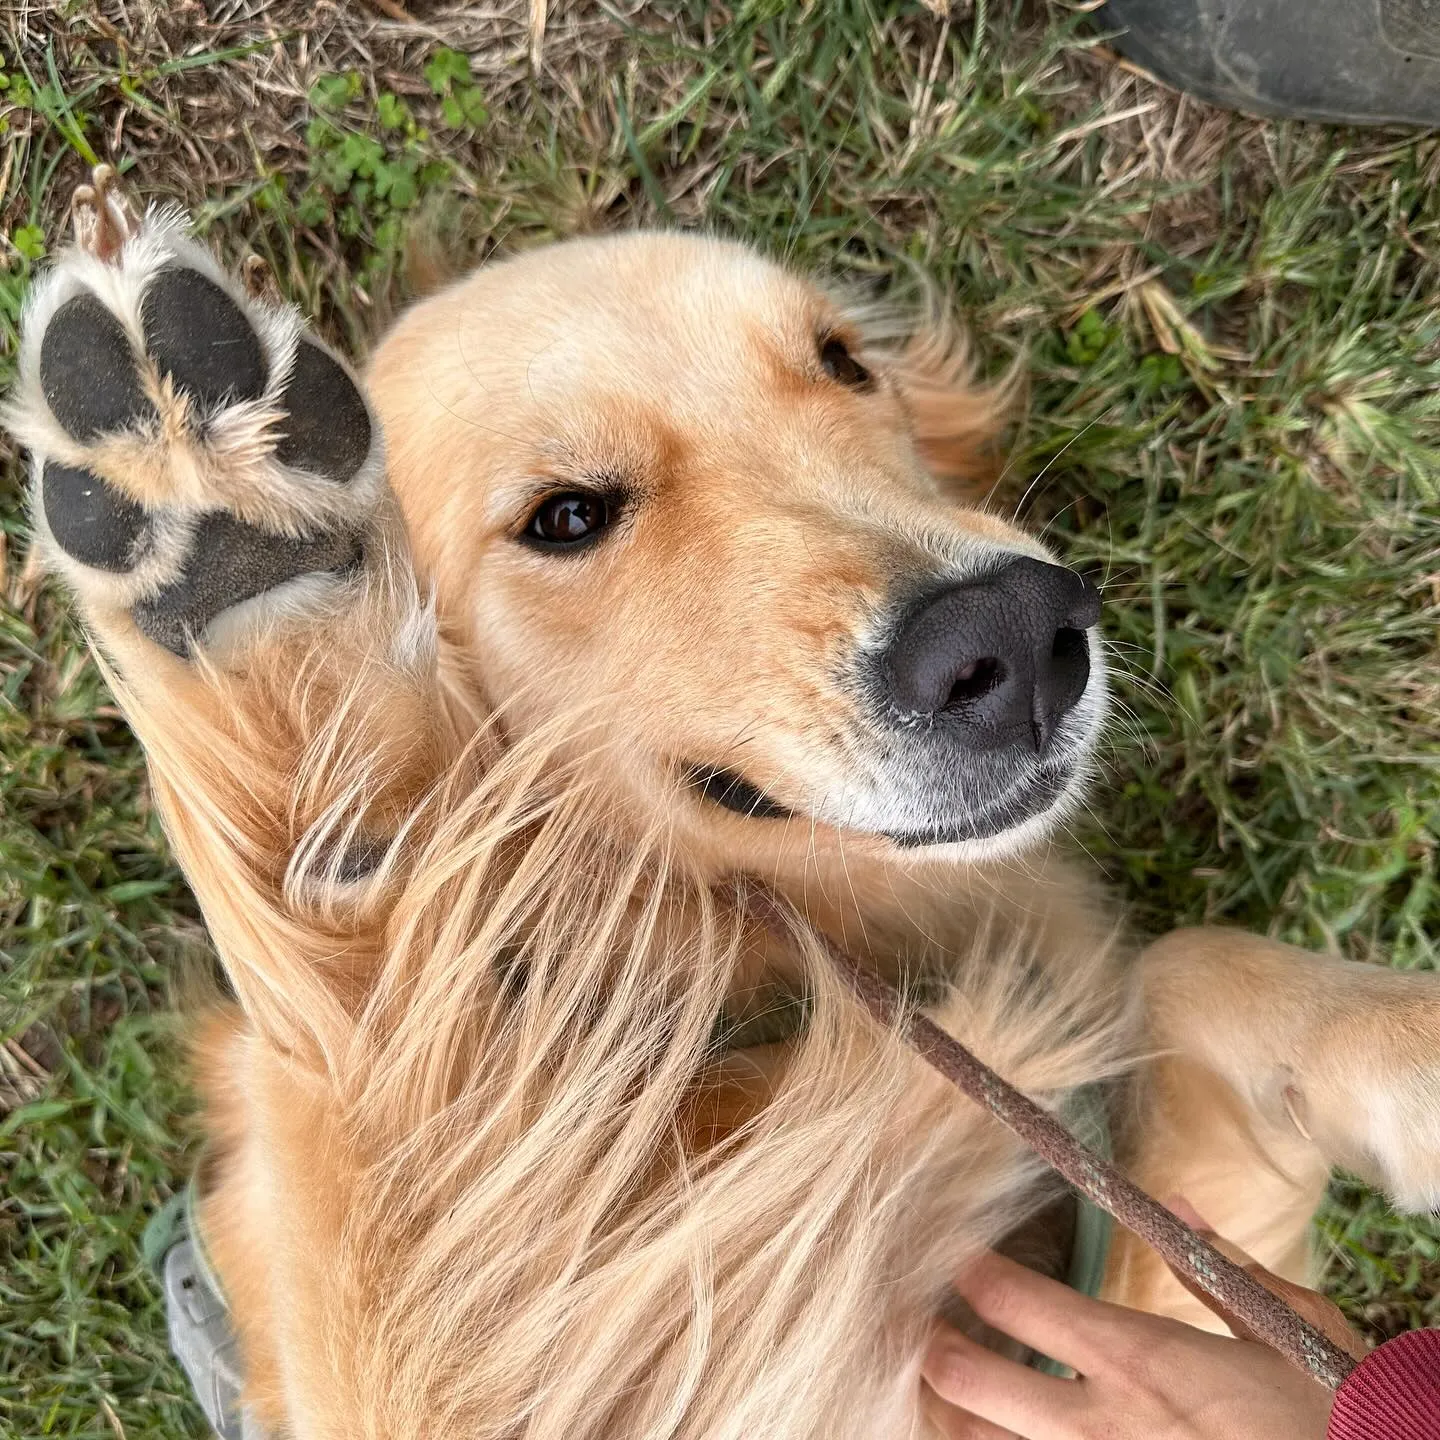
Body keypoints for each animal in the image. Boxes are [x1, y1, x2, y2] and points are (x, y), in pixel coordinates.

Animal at [11, 171, 1440, 1440]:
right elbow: (394, 1144)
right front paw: (264, 600)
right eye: (565, 516)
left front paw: (1409, 1057)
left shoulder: (1121, 1335)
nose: (1017, 638)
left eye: (841, 363)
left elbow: (1191, 972)